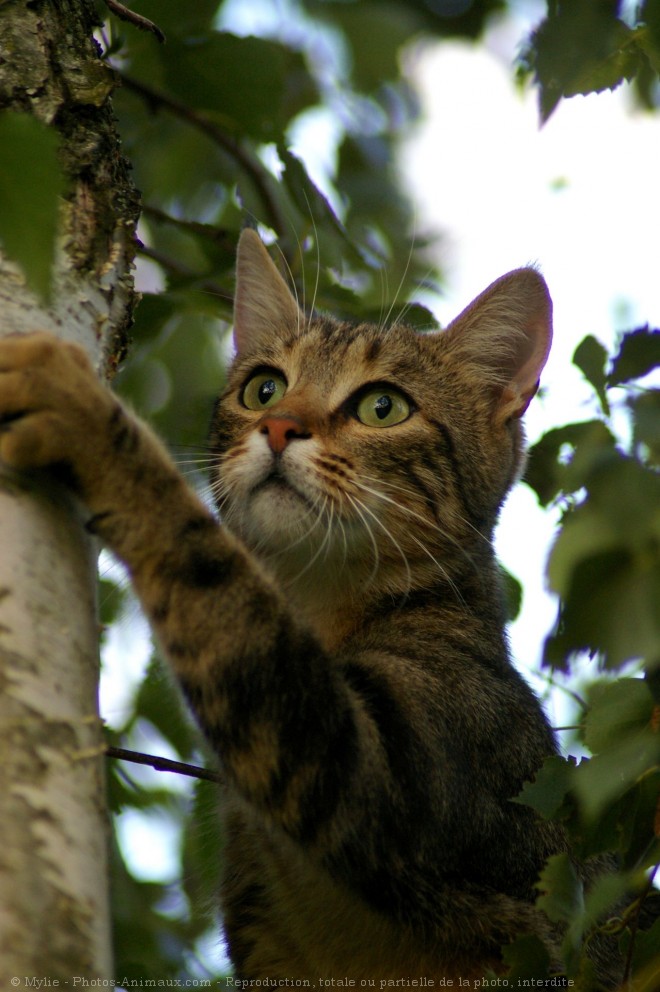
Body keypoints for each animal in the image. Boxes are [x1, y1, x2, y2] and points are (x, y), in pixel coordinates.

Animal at [0, 232, 620, 984]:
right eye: (263, 387)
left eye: (383, 407)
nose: (277, 425)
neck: (320, 605)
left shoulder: (398, 767)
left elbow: (211, 569)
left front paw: (86, 415)